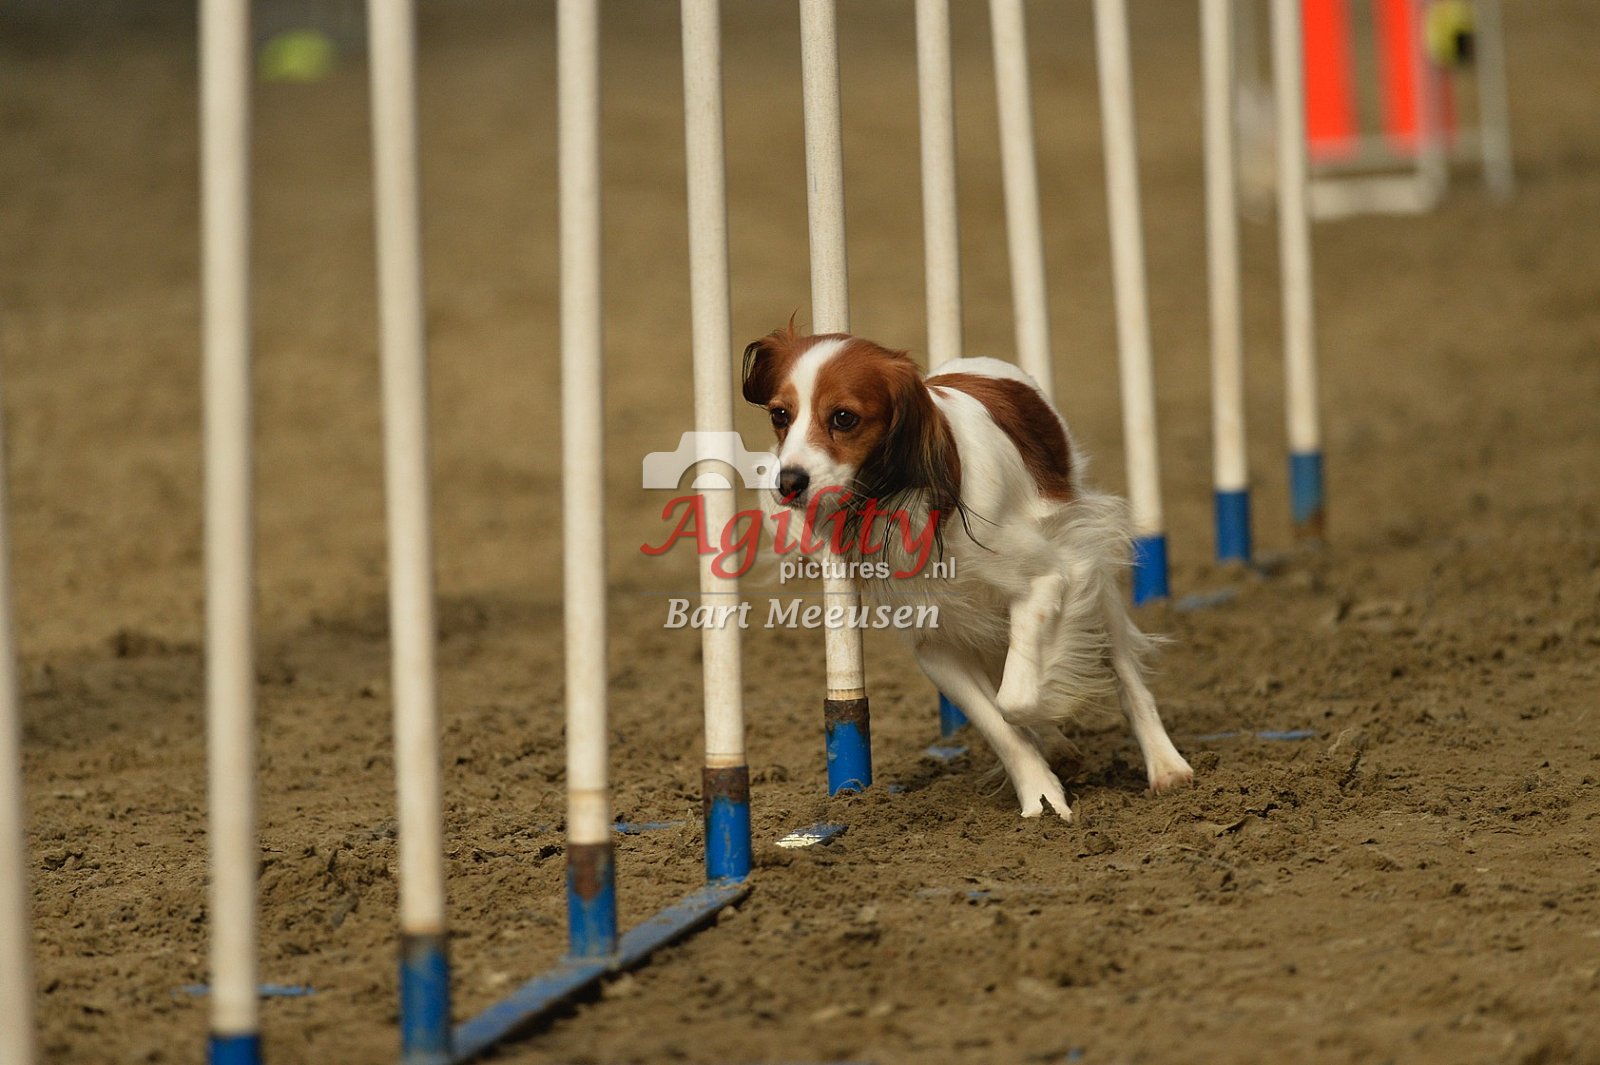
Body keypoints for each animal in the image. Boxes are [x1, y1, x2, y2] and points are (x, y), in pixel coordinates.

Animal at [742, 325, 1193, 820]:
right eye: (780, 415)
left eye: (843, 418)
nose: (788, 482)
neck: (911, 492)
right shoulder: (935, 644)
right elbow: (998, 721)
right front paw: (1040, 795)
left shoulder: (1049, 580)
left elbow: (1016, 700)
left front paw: (1057, 709)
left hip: (1090, 572)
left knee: (1129, 681)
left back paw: (1166, 766)